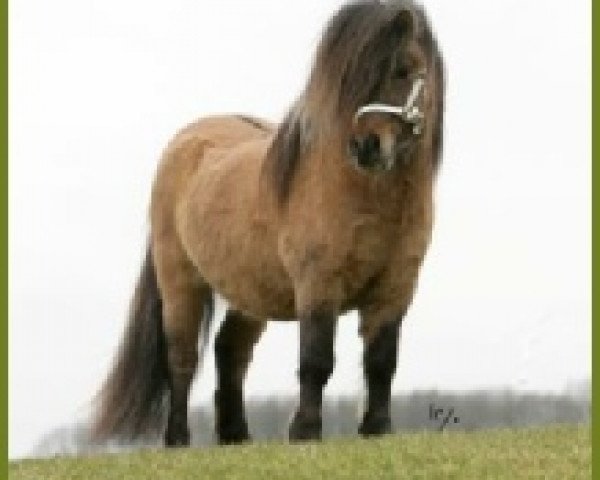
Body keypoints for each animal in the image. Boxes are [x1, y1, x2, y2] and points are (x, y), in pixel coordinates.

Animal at [92, 0, 440, 446]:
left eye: (403, 69)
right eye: (349, 79)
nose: (366, 147)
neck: (368, 196)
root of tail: (186, 140)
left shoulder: (396, 288)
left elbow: (381, 361)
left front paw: (377, 429)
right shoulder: (317, 283)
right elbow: (316, 359)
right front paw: (305, 432)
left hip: (249, 290)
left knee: (229, 351)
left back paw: (235, 435)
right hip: (180, 281)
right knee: (182, 357)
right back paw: (178, 438)